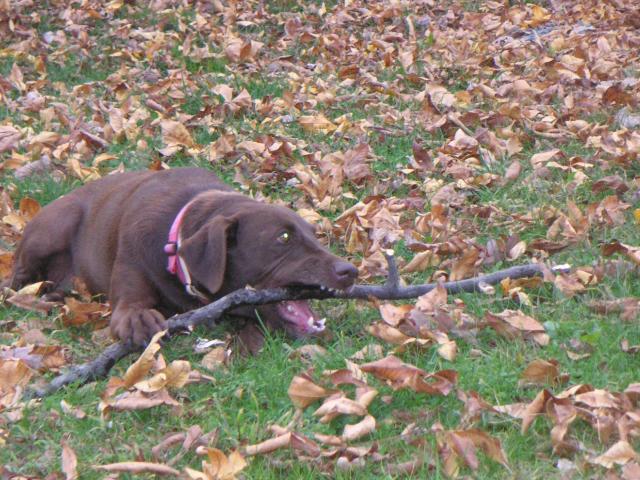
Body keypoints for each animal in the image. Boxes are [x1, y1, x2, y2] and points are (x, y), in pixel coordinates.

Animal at [8, 167, 358, 345]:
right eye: (283, 237)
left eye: (314, 234)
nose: (350, 271)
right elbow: (130, 308)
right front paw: (139, 318)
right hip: (55, 224)